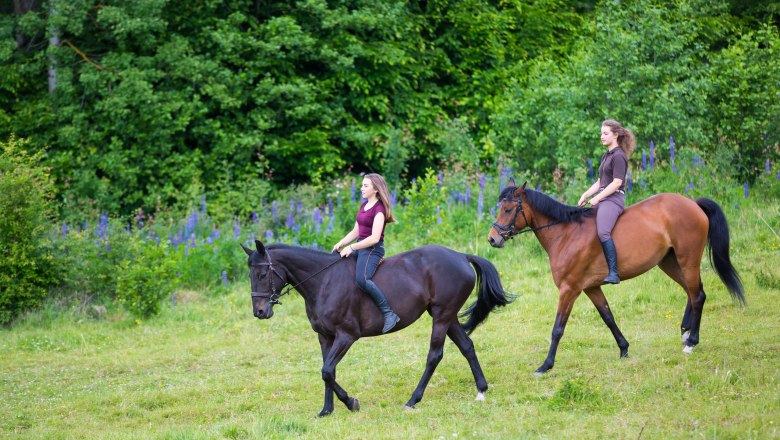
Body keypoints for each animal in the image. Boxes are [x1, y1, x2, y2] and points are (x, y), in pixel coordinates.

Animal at [241, 241, 516, 416]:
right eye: (250, 275)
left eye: (263, 274)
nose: (260, 312)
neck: (323, 282)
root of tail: (460, 256)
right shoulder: (325, 337)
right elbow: (327, 372)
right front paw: (327, 410)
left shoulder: (346, 336)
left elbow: (327, 371)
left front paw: (351, 403)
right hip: (447, 317)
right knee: (467, 346)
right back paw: (481, 390)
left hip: (442, 316)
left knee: (434, 356)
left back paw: (412, 400)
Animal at [488, 181, 744, 374]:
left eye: (508, 209)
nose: (492, 239)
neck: (566, 233)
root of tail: (693, 203)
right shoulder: (591, 288)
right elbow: (608, 317)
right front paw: (624, 349)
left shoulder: (569, 289)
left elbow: (558, 328)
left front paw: (546, 365)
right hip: (669, 263)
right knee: (691, 292)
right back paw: (685, 332)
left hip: (687, 259)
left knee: (697, 295)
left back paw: (691, 342)